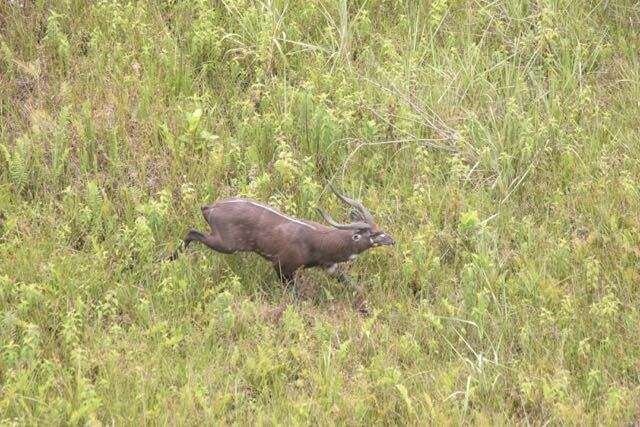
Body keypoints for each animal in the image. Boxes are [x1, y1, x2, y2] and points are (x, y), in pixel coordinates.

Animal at [168, 185, 392, 288]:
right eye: (373, 234)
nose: (391, 239)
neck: (319, 241)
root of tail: (210, 208)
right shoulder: (283, 266)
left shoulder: (329, 267)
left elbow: (350, 283)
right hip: (226, 243)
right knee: (191, 231)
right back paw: (169, 260)